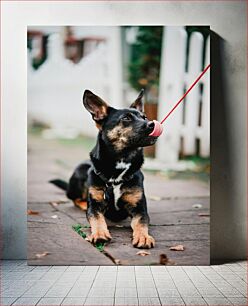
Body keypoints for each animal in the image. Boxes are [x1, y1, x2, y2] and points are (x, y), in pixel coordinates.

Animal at [51, 88, 158, 249]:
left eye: (144, 117)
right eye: (126, 118)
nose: (152, 124)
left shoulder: (139, 208)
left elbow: (141, 222)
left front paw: (143, 237)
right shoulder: (95, 206)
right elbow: (97, 219)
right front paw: (100, 233)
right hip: (81, 171)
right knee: (75, 198)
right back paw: (83, 204)